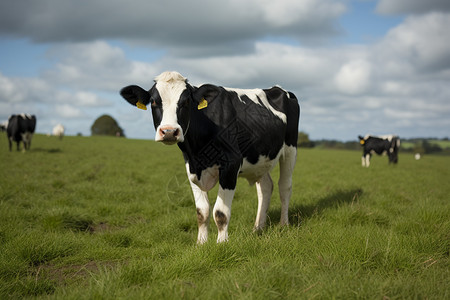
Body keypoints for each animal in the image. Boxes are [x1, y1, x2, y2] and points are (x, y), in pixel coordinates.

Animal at [121, 71, 300, 244]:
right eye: (154, 102)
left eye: (186, 102)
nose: (169, 132)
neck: (197, 149)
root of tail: (278, 89)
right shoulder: (192, 168)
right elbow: (202, 212)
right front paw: (201, 243)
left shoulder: (231, 164)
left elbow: (220, 212)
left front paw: (222, 243)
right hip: (260, 160)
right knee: (265, 187)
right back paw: (258, 228)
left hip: (290, 149)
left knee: (285, 186)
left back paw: (284, 225)